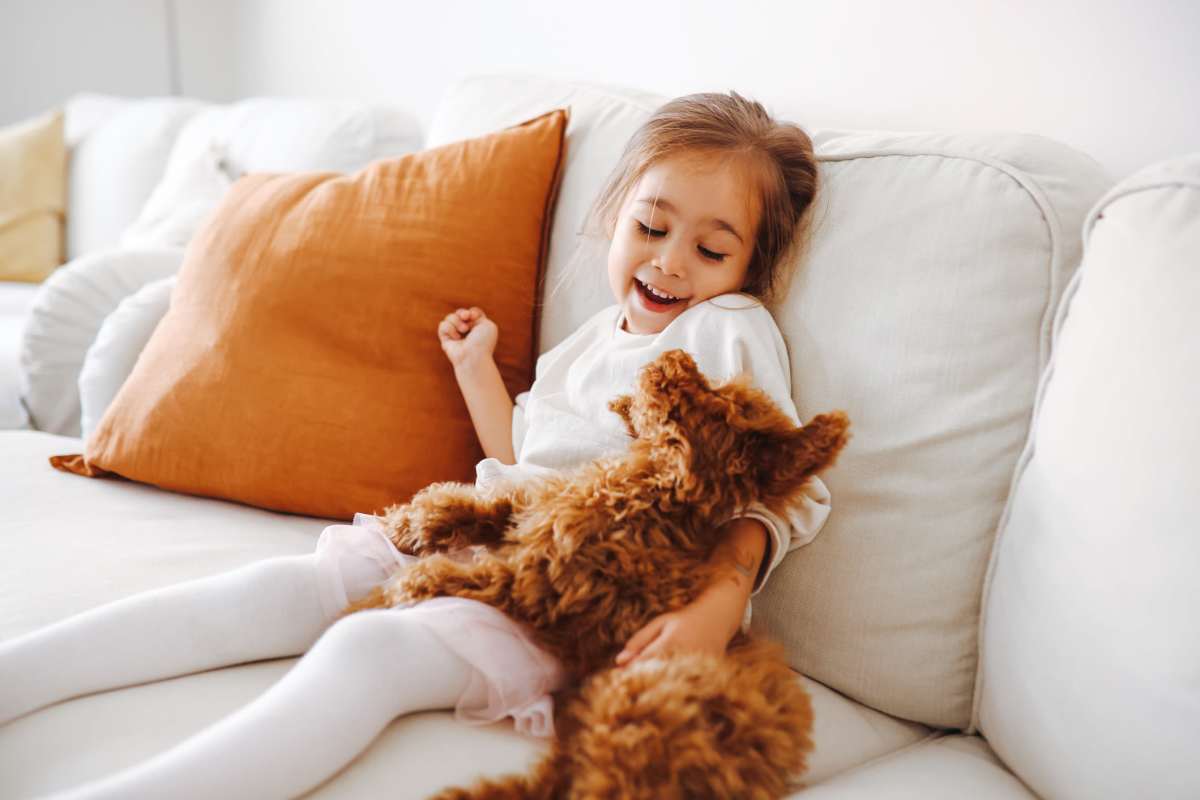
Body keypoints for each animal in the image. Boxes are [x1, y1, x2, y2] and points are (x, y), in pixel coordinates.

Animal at [345, 347, 854, 796]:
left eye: (714, 399)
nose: (677, 354)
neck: (653, 491)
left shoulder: (535, 586)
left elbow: (443, 576)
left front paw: (383, 594)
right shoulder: (531, 517)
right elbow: (465, 506)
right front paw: (406, 526)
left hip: (633, 723)